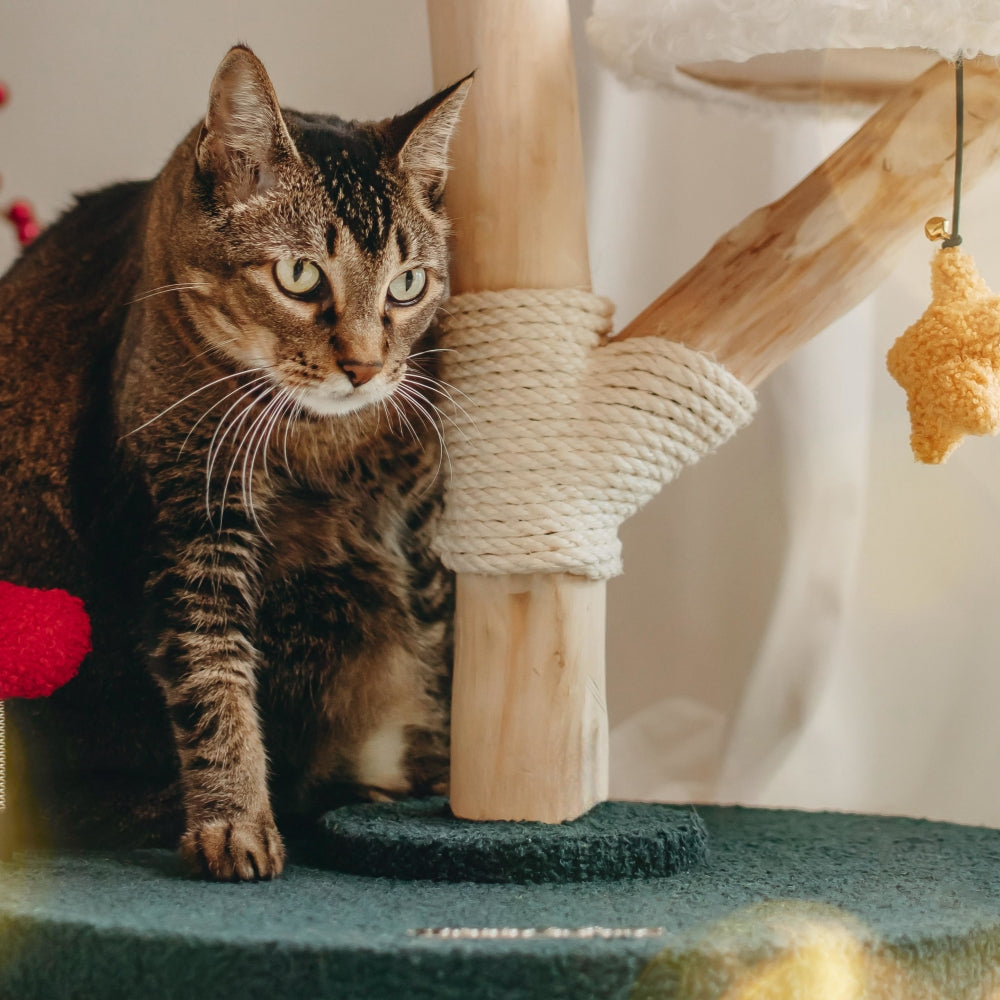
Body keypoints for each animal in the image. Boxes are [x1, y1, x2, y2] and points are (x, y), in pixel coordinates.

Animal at [0, 45, 468, 884]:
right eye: (300, 276)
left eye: (408, 285)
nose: (365, 366)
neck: (324, 446)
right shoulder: (189, 524)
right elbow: (213, 674)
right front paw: (237, 821)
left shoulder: (421, 525)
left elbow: (440, 665)